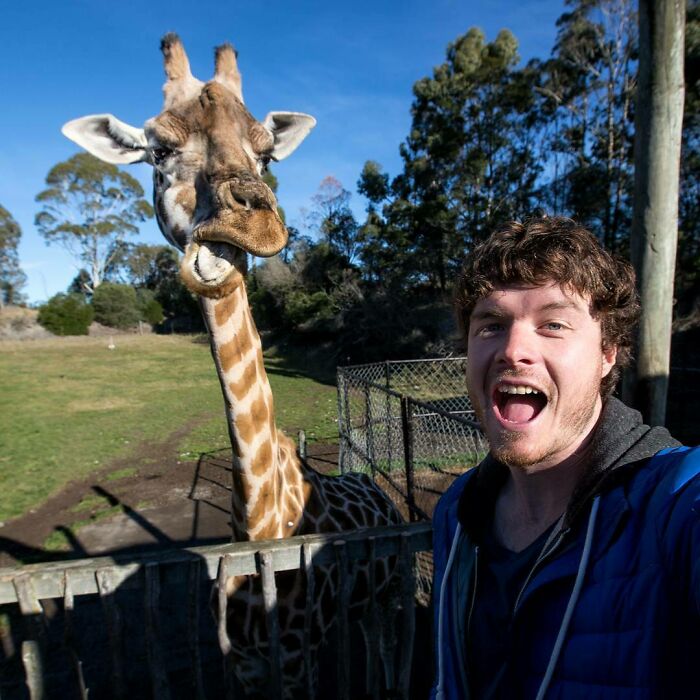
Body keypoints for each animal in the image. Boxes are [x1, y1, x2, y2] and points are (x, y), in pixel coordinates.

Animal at [62, 34, 403, 697]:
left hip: (390, 592)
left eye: (267, 154)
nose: (253, 220)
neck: (262, 525)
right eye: (159, 149)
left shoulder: (297, 662)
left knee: (383, 645)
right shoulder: (244, 666)